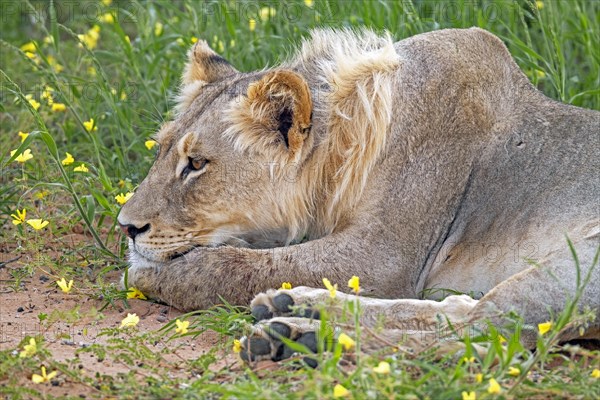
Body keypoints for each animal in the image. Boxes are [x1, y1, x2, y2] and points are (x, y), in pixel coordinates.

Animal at [118, 26, 600, 360]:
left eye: (197, 164)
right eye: (161, 150)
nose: (126, 227)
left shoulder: (384, 255)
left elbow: (241, 265)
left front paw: (150, 274)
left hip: (577, 267)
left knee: (482, 338)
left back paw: (298, 337)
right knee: (462, 313)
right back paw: (296, 307)